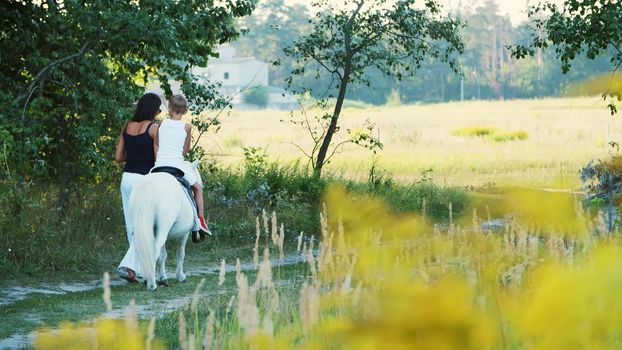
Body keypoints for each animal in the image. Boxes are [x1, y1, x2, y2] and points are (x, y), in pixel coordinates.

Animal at [132, 161, 202, 290]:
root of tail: (148, 186)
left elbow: (163, 255)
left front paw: (162, 277)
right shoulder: (184, 233)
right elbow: (180, 254)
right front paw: (180, 276)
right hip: (163, 229)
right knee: (154, 252)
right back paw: (151, 284)